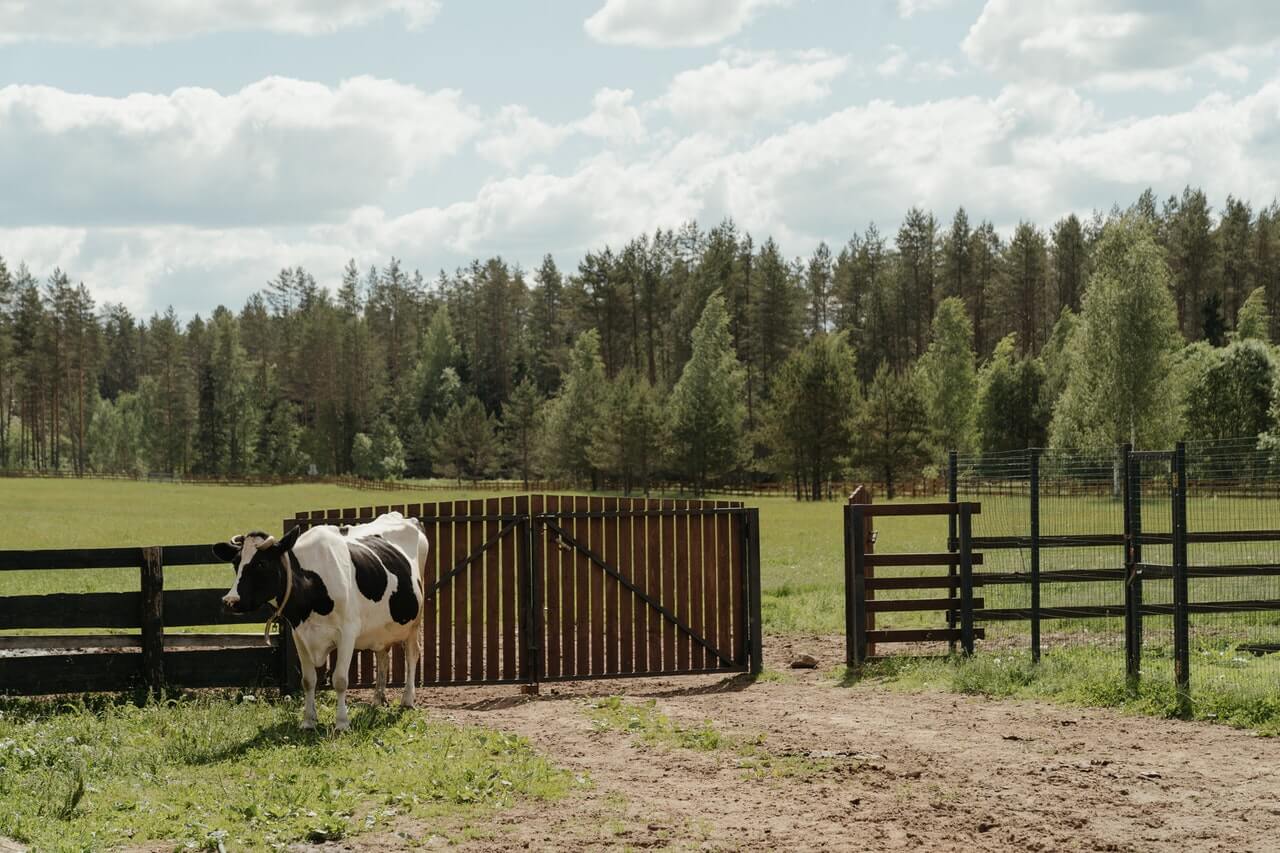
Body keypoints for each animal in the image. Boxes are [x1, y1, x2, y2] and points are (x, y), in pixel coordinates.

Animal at [209, 507, 427, 727]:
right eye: (235, 563)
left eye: (261, 563)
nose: (230, 600)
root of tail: (403, 517)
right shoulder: (299, 635)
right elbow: (308, 680)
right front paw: (308, 720)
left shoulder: (347, 633)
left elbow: (340, 680)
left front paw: (342, 722)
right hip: (381, 628)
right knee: (382, 655)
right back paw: (377, 700)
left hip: (414, 622)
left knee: (412, 654)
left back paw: (407, 700)